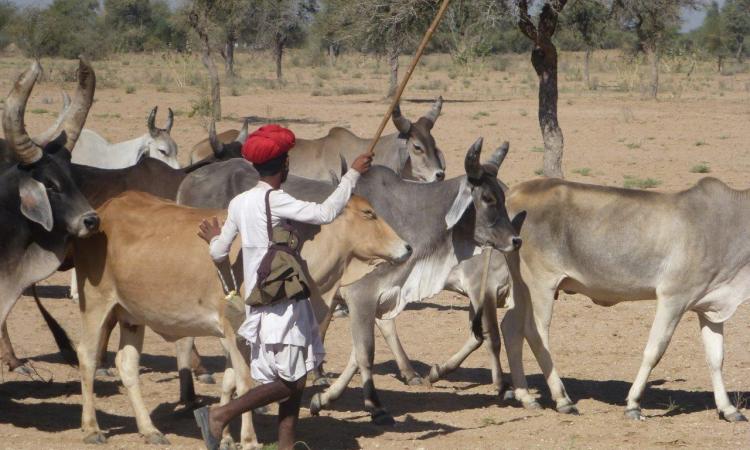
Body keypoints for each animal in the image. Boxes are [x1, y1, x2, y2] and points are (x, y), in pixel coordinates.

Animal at [72, 188, 412, 444]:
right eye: (368, 213)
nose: (407, 247)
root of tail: (105, 211)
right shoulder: (234, 332)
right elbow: (246, 384)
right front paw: (247, 440)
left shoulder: (238, 339)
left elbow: (230, 383)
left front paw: (222, 434)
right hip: (96, 303)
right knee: (87, 356)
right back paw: (91, 428)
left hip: (131, 315)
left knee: (127, 365)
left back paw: (149, 430)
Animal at [500, 177, 750, 422]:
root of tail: (515, 191)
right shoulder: (673, 297)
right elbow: (654, 350)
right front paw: (633, 405)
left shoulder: (710, 306)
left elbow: (716, 358)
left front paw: (728, 409)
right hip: (541, 283)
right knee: (536, 333)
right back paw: (562, 400)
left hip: (521, 286)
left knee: (511, 328)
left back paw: (526, 397)